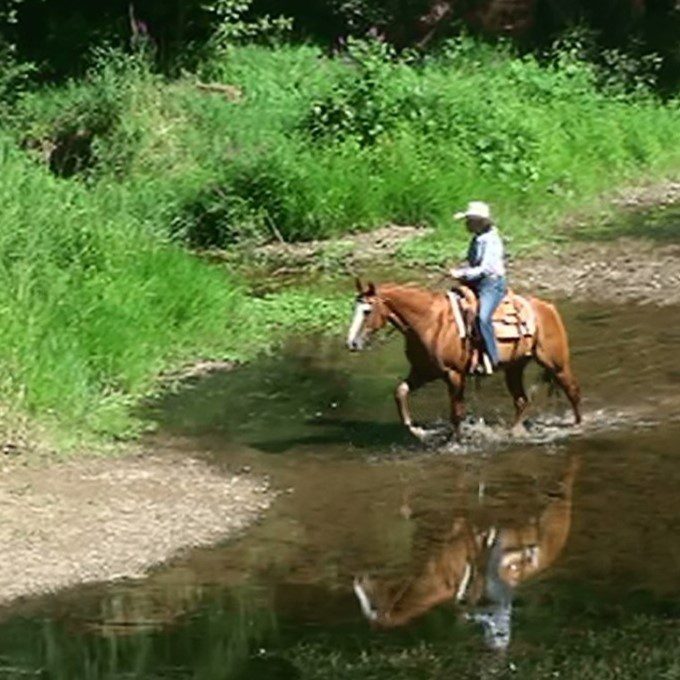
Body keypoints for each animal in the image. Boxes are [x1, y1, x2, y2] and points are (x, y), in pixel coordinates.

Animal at [346, 279, 581, 441]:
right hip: (514, 367)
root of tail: (548, 308)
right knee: (522, 401)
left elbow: (456, 412)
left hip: (557, 364)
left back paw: (577, 425)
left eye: (367, 311)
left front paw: (456, 441)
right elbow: (400, 392)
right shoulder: (423, 372)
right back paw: (513, 432)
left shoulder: (454, 375)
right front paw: (418, 430)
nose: (351, 343)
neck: (430, 322)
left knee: (572, 392)